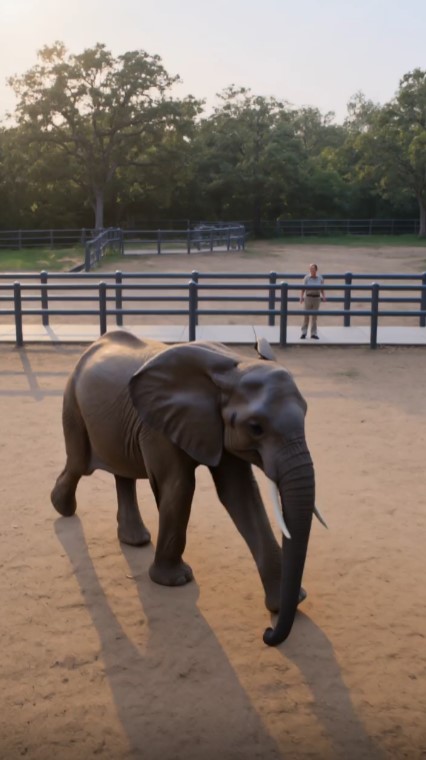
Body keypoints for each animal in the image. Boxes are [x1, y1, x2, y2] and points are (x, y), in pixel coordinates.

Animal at [51, 330, 323, 646]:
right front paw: (176, 581)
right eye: (256, 427)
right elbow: (179, 486)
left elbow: (240, 494)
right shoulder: (158, 427)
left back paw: (136, 540)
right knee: (79, 463)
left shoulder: (216, 427)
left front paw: (288, 603)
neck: (233, 367)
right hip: (72, 402)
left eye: (306, 412)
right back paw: (62, 507)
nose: (267, 634)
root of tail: (95, 344)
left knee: (122, 471)